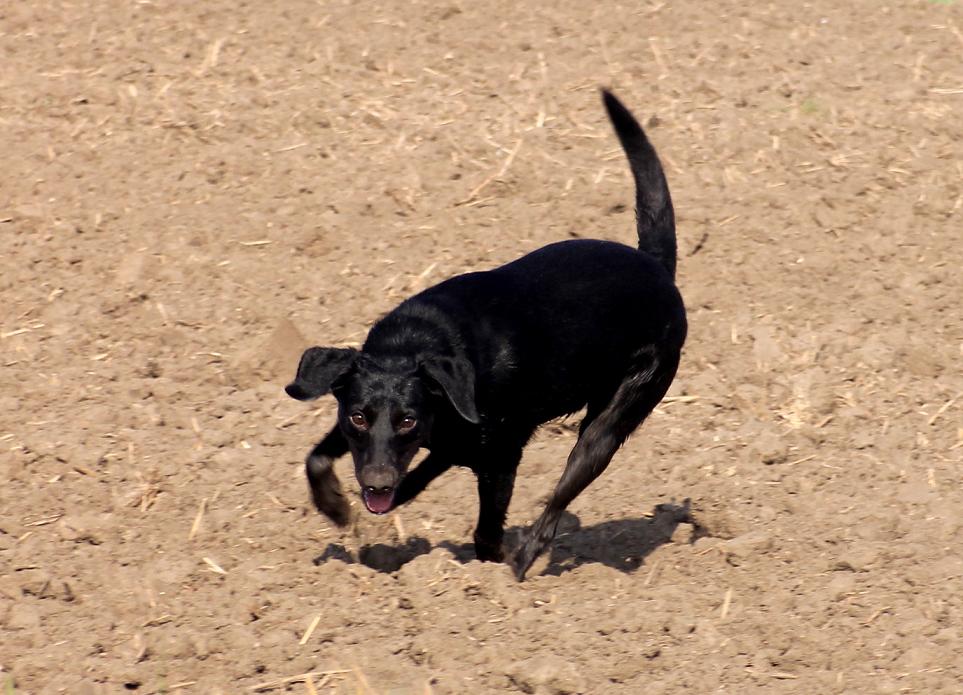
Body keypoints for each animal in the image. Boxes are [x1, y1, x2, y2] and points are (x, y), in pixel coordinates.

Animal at [286, 92, 684, 580]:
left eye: (407, 420)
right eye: (360, 417)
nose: (377, 481)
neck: (418, 342)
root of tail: (657, 267)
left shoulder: (501, 459)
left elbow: (487, 530)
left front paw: (488, 576)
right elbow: (318, 457)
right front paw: (336, 507)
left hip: (610, 423)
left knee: (558, 498)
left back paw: (522, 562)